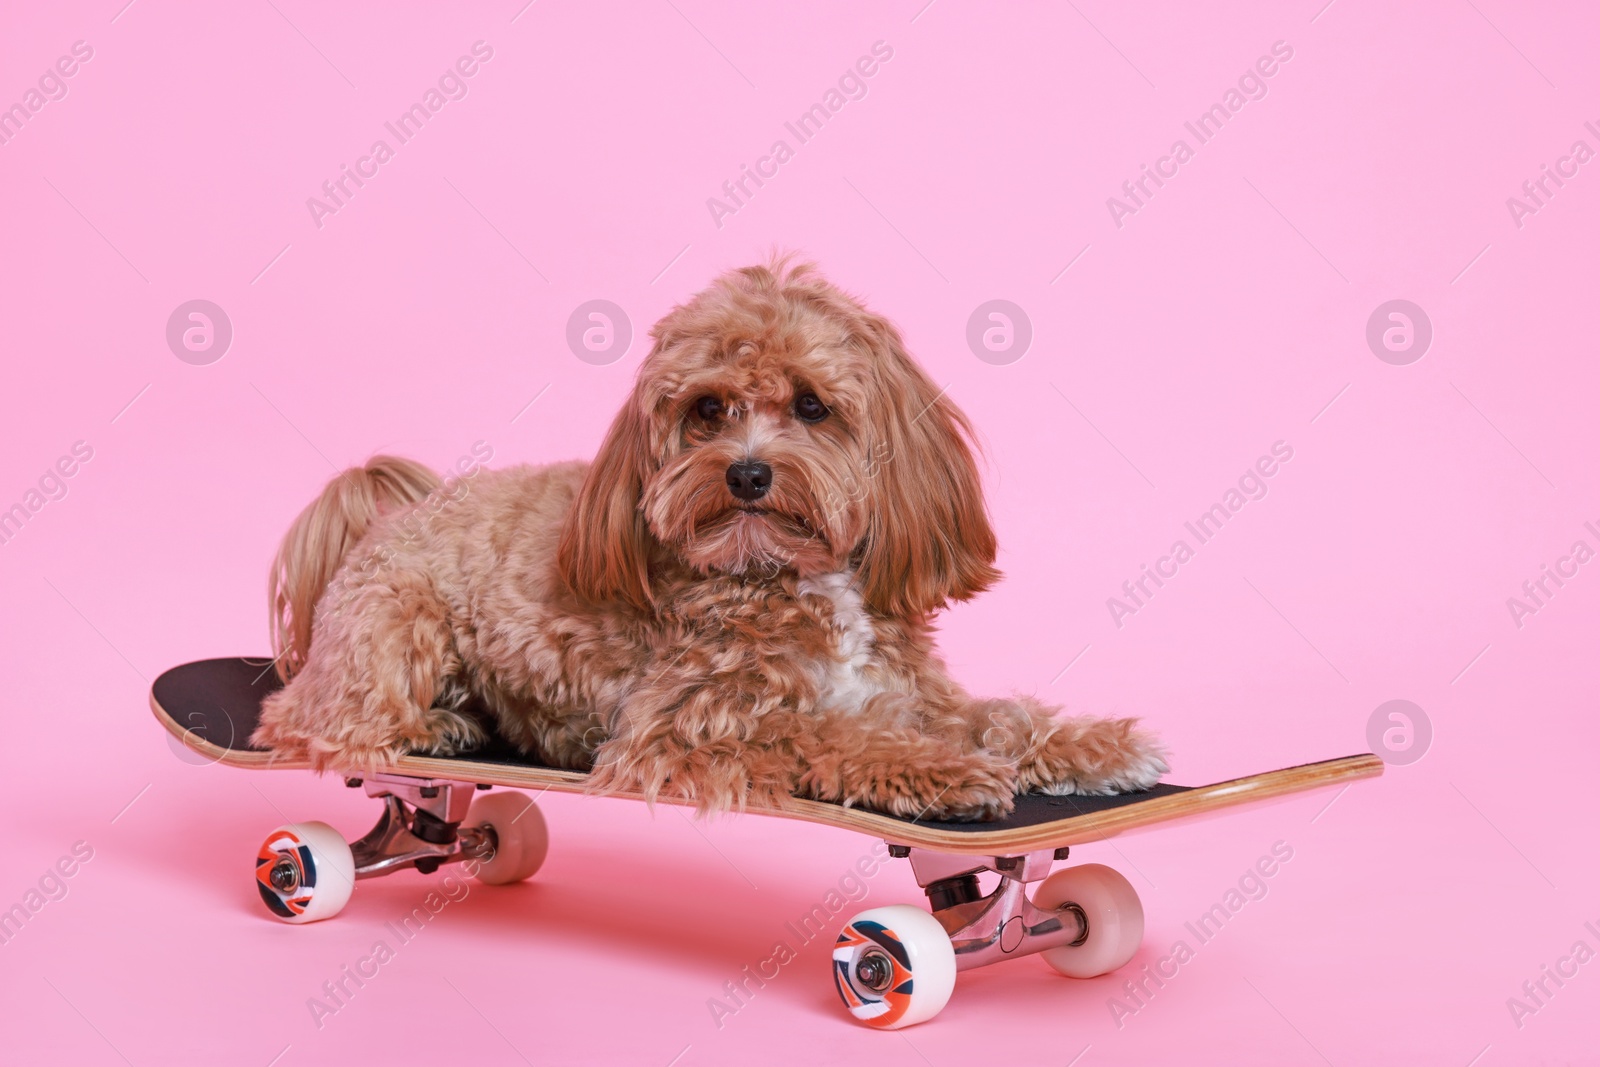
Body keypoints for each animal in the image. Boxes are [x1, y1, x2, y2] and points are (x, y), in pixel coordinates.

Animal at [256, 262, 1171, 825]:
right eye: (706, 408)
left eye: (811, 405)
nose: (747, 473)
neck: (793, 576)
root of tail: (387, 517)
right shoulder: (679, 729)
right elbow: (819, 734)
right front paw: (947, 772)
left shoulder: (913, 692)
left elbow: (998, 714)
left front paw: (1097, 743)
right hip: (397, 627)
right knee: (308, 719)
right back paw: (433, 725)